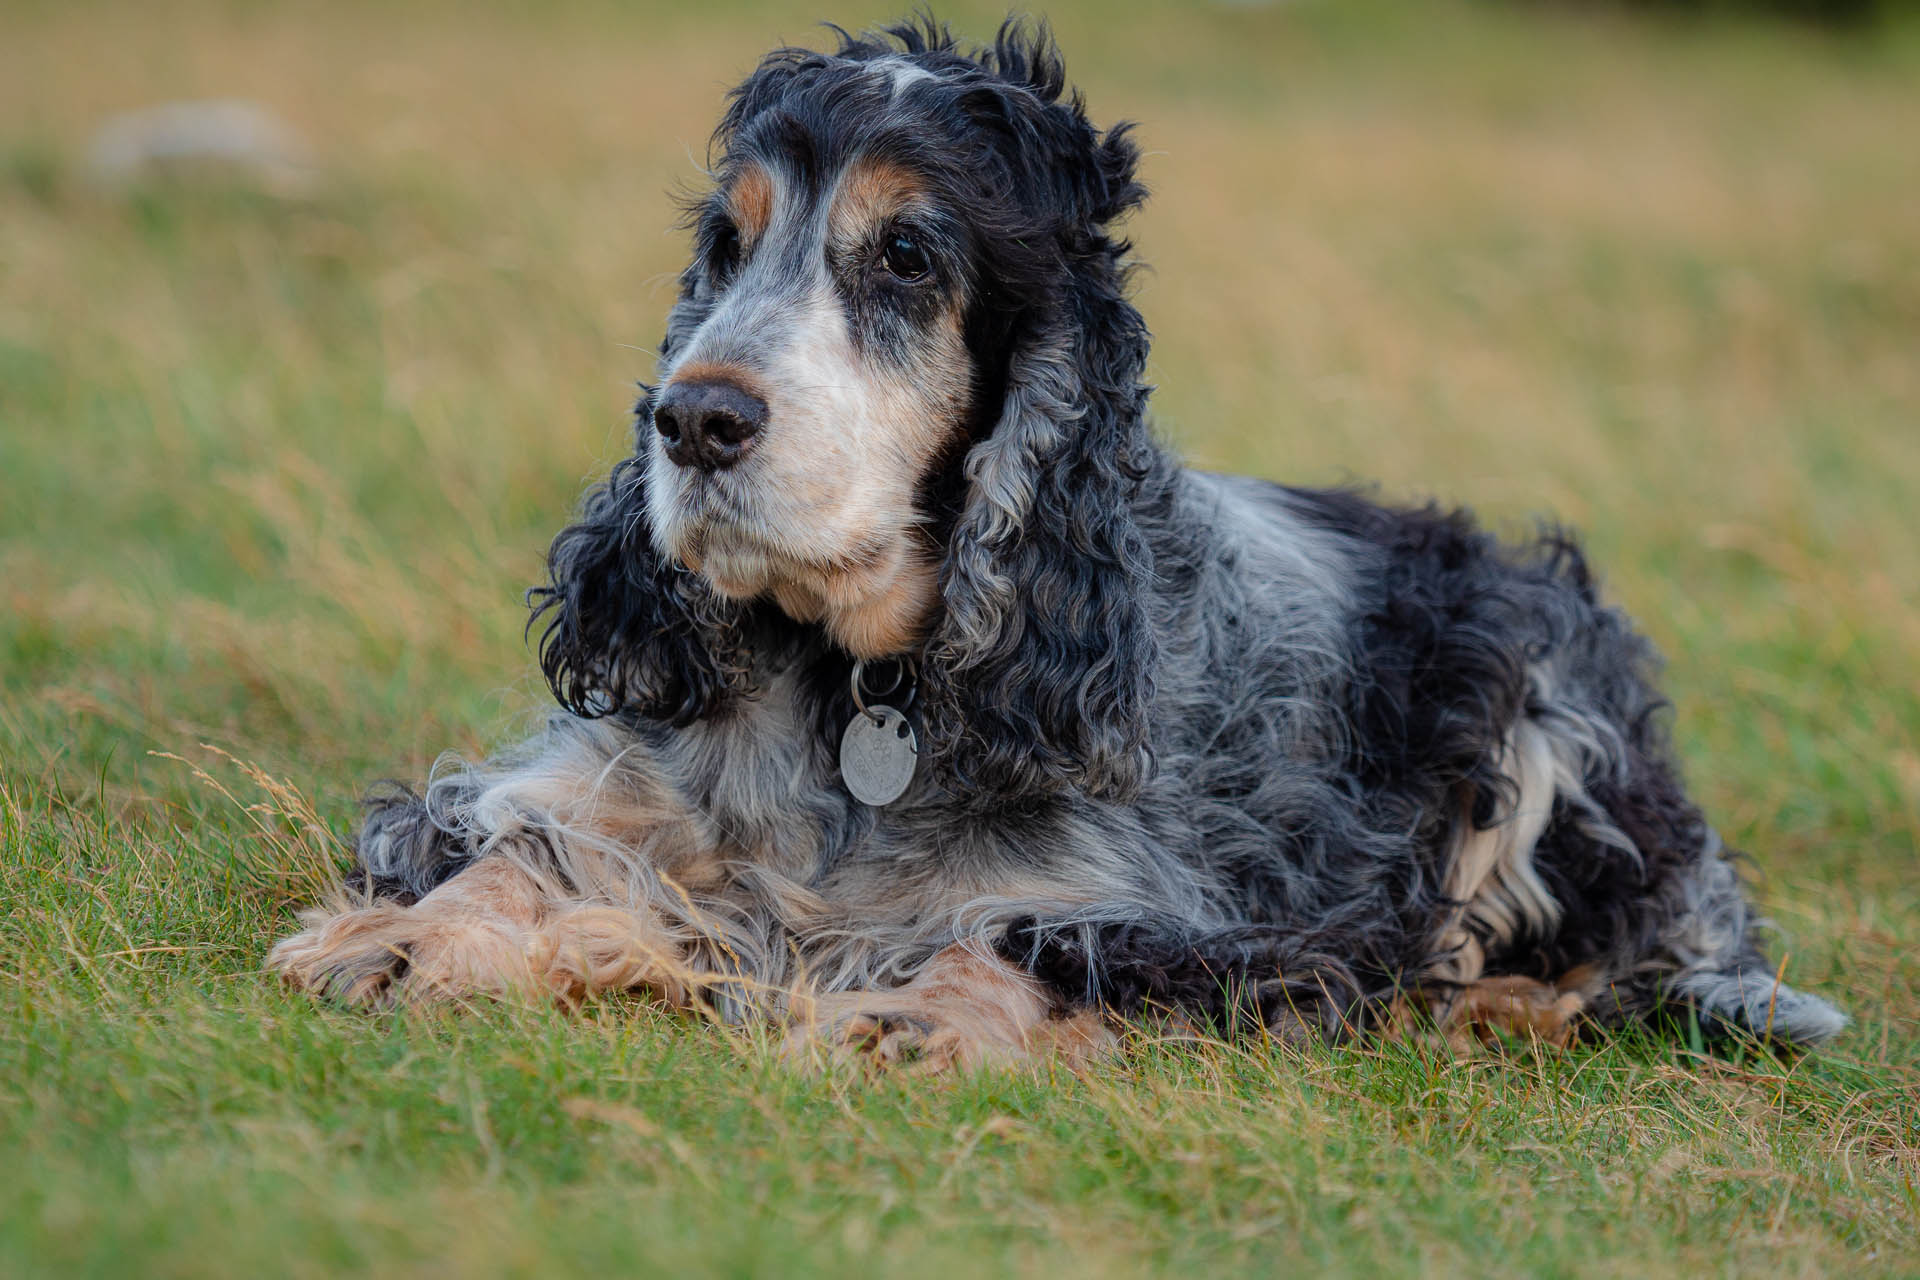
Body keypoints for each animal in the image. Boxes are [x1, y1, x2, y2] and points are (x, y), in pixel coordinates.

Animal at [266, 20, 1843, 1066]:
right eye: (726, 243)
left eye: (908, 257)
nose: (693, 418)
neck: (861, 691)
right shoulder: (596, 779)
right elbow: (523, 849)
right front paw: (407, 937)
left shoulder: (1184, 913)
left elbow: (1020, 941)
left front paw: (905, 1021)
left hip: (1544, 716)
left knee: (1632, 950)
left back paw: (1492, 998)